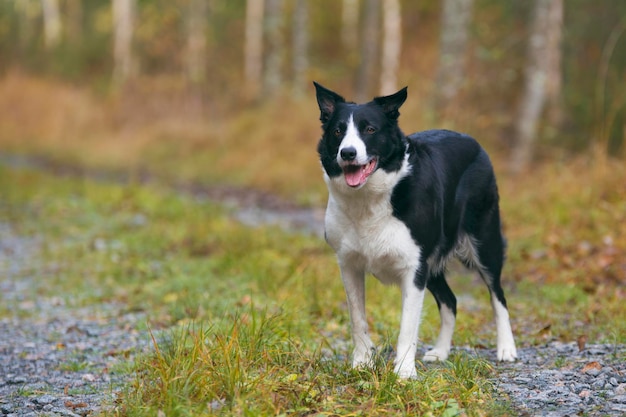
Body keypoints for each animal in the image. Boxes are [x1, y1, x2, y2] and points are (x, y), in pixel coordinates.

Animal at [312, 80, 516, 376]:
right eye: (338, 130)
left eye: (370, 129)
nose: (348, 153)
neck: (370, 199)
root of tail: (473, 141)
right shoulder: (349, 264)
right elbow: (357, 318)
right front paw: (362, 362)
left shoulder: (414, 267)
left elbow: (407, 326)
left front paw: (404, 372)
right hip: (433, 262)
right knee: (451, 301)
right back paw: (441, 352)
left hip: (484, 241)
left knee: (497, 294)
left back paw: (506, 349)